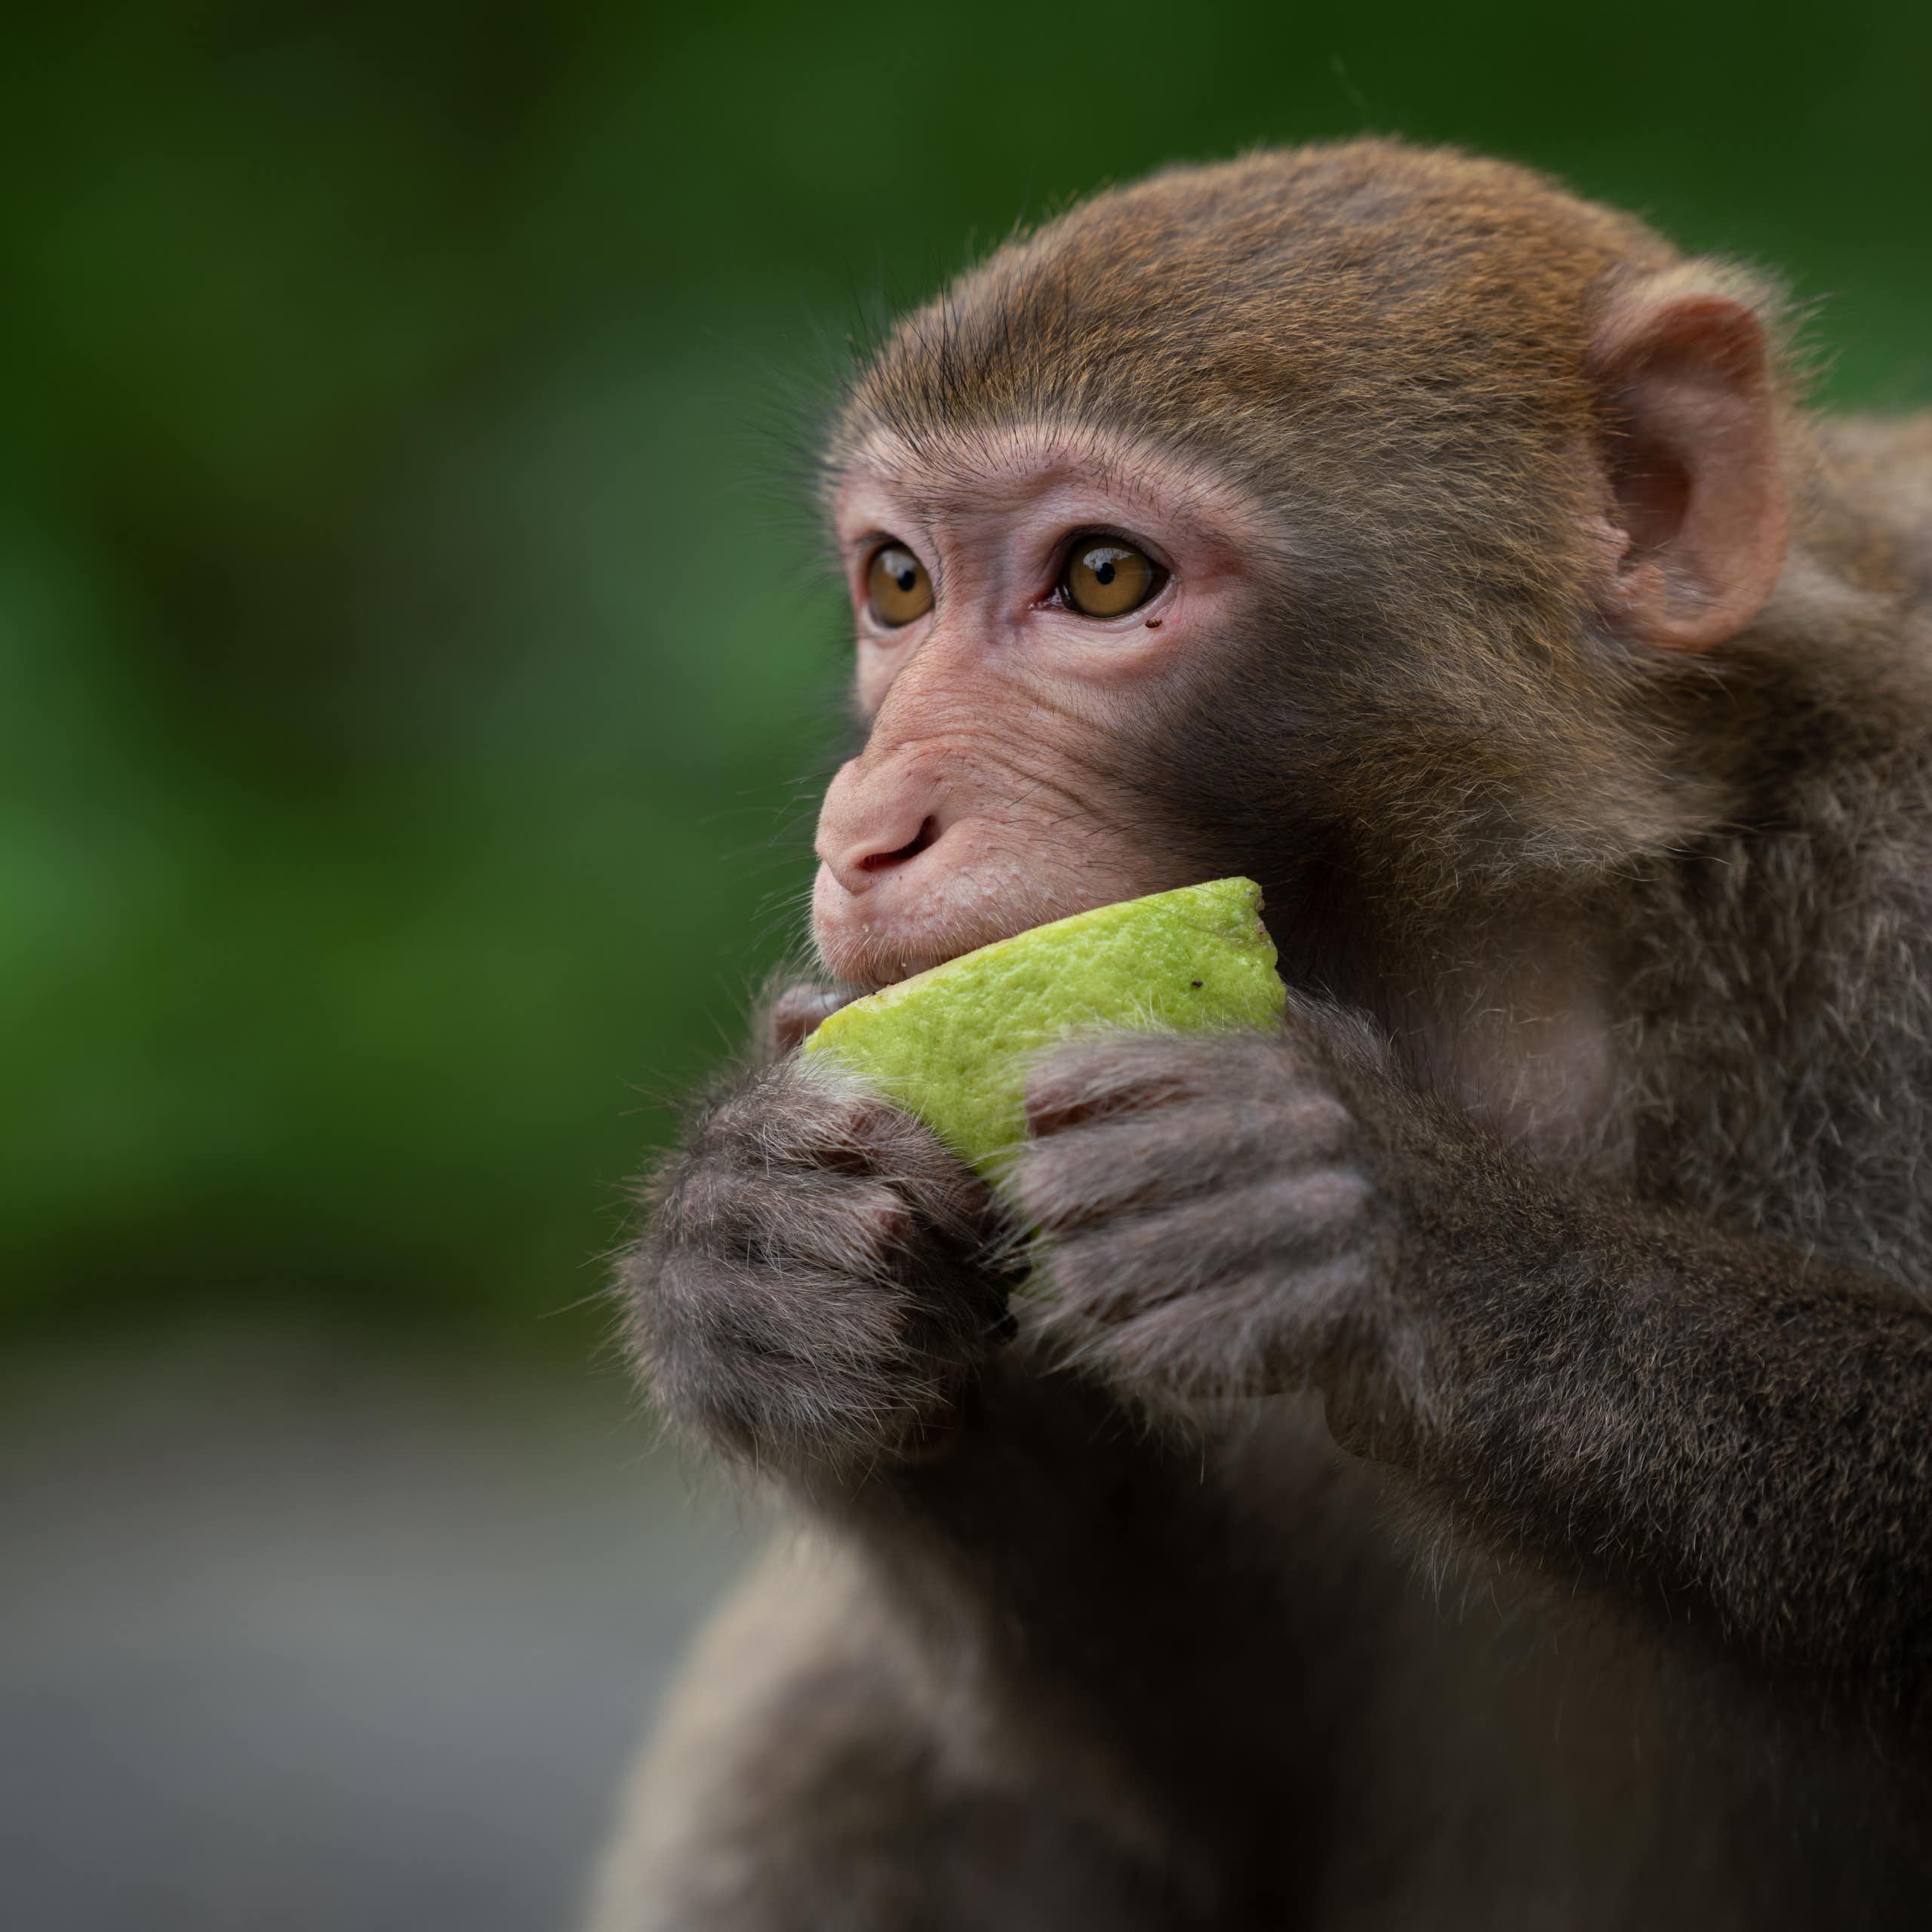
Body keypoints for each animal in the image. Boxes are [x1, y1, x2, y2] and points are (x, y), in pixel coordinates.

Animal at [590, 141, 1932, 1930]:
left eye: (1103, 577)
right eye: (898, 582)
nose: (865, 827)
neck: (1524, 968)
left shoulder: (1898, 882)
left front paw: (1373, 1219)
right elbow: (1224, 1775)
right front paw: (752, 1248)